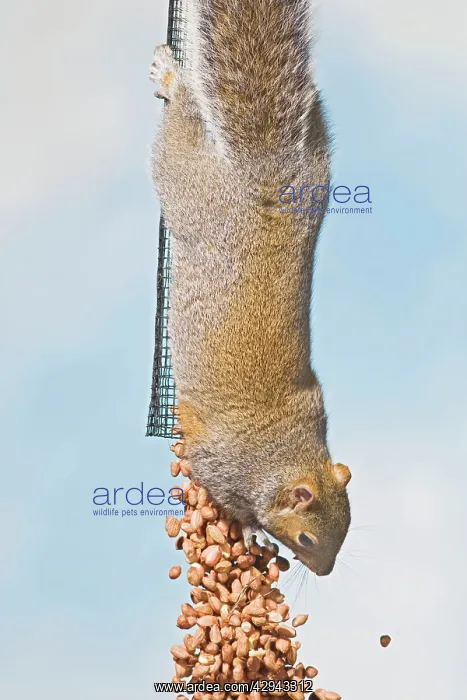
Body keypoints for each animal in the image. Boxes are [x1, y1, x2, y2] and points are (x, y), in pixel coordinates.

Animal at [149, 0, 352, 577]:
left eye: (348, 528)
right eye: (307, 539)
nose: (326, 572)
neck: (283, 452)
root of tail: (267, 178)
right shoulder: (219, 466)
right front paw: (244, 530)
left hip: (317, 165)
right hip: (189, 185)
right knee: (180, 132)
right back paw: (171, 78)